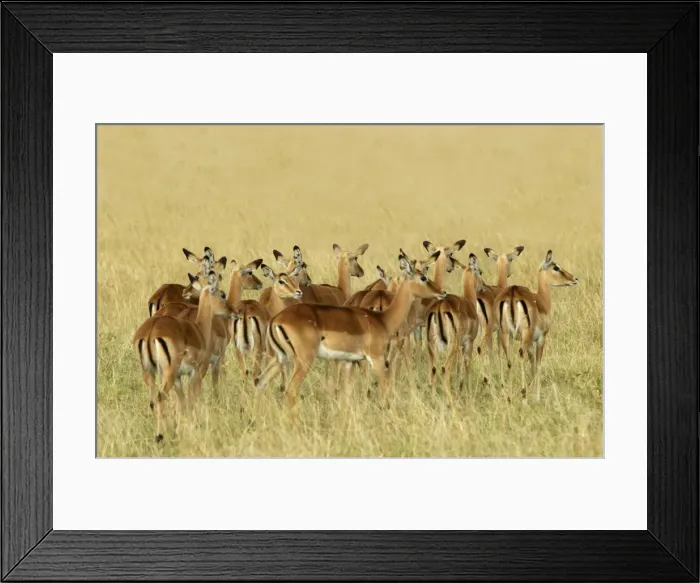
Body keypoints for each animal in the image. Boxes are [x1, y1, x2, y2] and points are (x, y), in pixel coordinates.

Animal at [133, 271, 236, 441]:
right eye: (222, 294)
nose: (234, 312)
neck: (199, 329)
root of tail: (151, 331)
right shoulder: (196, 371)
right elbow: (192, 398)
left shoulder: (179, 377)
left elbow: (183, 402)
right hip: (168, 373)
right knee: (161, 397)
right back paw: (160, 436)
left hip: (148, 371)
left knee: (153, 401)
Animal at [254, 251, 445, 408]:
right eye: (423, 278)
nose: (442, 292)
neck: (382, 319)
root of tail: (277, 319)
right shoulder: (376, 358)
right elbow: (385, 390)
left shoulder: (348, 362)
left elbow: (346, 394)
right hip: (303, 360)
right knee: (290, 390)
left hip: (279, 358)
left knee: (259, 382)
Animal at [425, 253, 481, 403]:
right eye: (480, 272)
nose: (483, 286)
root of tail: (440, 306)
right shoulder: (468, 343)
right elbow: (466, 367)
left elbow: (458, 369)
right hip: (452, 345)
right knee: (445, 368)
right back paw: (450, 401)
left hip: (433, 345)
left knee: (433, 370)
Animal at [494, 249, 579, 401]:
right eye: (556, 267)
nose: (574, 279)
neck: (542, 301)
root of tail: (513, 292)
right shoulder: (540, 338)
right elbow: (538, 364)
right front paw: (537, 396)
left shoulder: (528, 341)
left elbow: (532, 363)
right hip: (524, 335)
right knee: (520, 355)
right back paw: (523, 393)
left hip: (505, 335)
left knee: (507, 359)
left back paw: (508, 394)